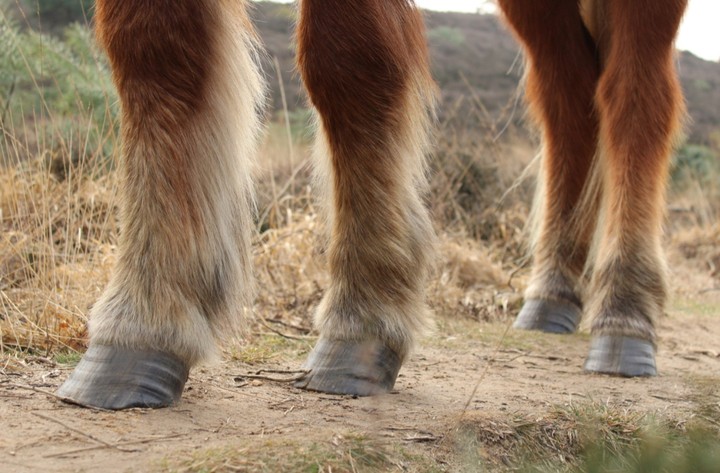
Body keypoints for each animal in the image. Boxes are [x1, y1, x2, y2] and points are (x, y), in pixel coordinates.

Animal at [56, 0, 687, 409]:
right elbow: (153, 44)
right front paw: (143, 326)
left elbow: (348, 51)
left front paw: (363, 318)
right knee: (569, 96)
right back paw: (554, 289)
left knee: (635, 96)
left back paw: (625, 311)